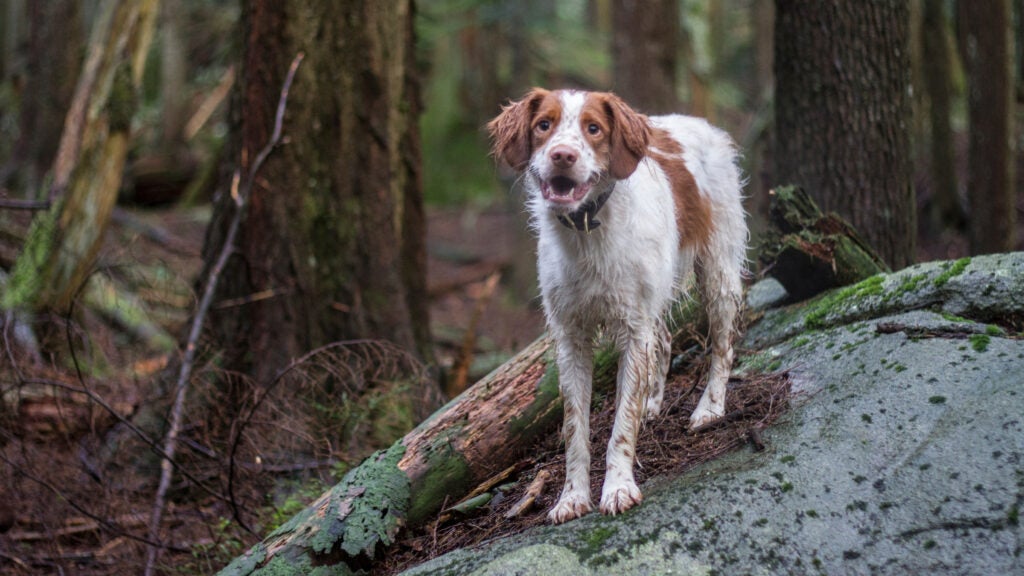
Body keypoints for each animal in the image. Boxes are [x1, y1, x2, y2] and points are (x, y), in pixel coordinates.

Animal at [485, 87, 745, 522]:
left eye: (593, 128)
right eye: (544, 125)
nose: (563, 155)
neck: (586, 229)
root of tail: (697, 122)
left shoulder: (633, 329)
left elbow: (621, 424)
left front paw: (619, 487)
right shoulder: (571, 337)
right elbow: (575, 427)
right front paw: (571, 497)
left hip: (718, 272)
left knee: (723, 344)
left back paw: (709, 408)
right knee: (664, 339)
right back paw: (652, 403)